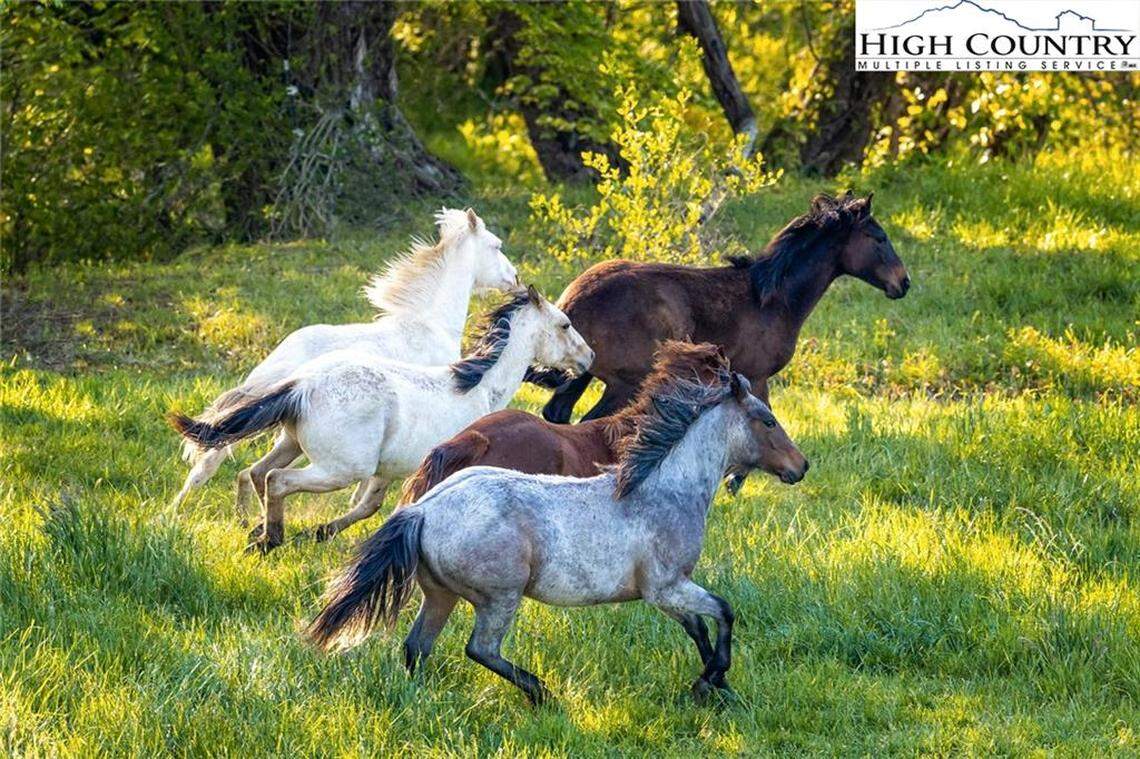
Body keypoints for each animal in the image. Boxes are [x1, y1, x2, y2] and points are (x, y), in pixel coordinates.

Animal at [169, 286, 594, 554]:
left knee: (257, 473)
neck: (479, 388)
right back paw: (269, 540)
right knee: (276, 480)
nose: (588, 357)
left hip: (292, 444)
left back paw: (258, 530)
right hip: (339, 468)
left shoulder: (386, 472)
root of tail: (302, 384)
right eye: (564, 324)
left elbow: (368, 507)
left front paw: (321, 533)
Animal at [304, 367, 807, 706]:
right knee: (479, 649)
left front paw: (715, 687)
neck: (664, 489)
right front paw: (712, 679)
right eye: (767, 420)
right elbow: (723, 612)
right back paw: (542, 693)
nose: (800, 467)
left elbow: (700, 627)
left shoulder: (668, 592)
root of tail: (421, 511)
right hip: (499, 597)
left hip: (440, 595)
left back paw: (428, 701)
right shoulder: (666, 587)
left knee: (416, 649)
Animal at [532, 192, 909, 423]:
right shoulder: (756, 377)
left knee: (557, 414)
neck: (774, 299)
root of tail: (571, 302)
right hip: (624, 383)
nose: (903, 283)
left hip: (582, 373)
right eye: (879, 238)